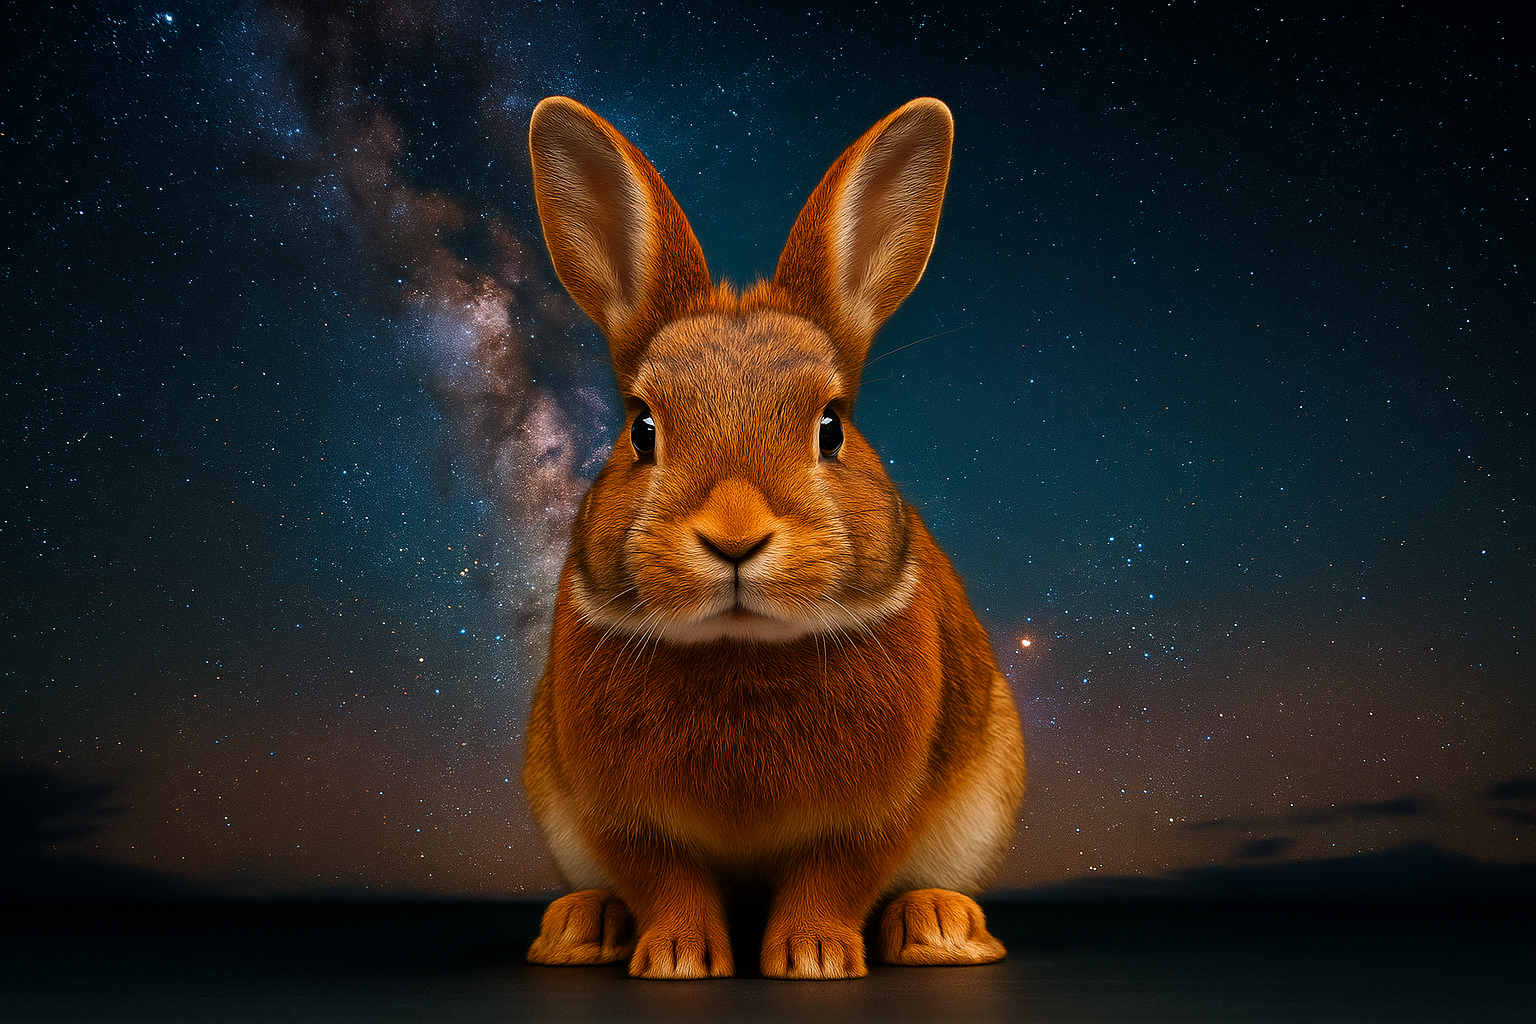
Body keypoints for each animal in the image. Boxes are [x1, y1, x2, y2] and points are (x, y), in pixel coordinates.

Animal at [521, 95, 1026, 980]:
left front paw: (815, 955)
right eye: (642, 429)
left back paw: (938, 924)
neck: (740, 645)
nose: (734, 539)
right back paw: (582, 926)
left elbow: (836, 873)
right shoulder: (617, 813)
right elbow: (665, 879)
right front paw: (680, 957)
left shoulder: (876, 811)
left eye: (832, 428)